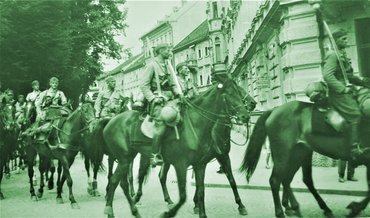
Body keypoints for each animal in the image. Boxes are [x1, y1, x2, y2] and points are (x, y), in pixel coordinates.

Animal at [102, 74, 249, 218]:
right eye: (229, 94)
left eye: (239, 92)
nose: (246, 116)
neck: (195, 125)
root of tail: (111, 121)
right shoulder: (181, 165)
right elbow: (183, 196)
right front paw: (168, 213)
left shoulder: (201, 164)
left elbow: (202, 190)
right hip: (125, 159)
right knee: (117, 180)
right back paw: (112, 209)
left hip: (130, 158)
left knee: (124, 182)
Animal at [240, 87, 370, 217]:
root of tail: (274, 110)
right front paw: (356, 208)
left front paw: (356, 207)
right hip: (284, 155)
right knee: (276, 180)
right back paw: (281, 212)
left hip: (299, 154)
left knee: (292, 179)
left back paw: (299, 207)